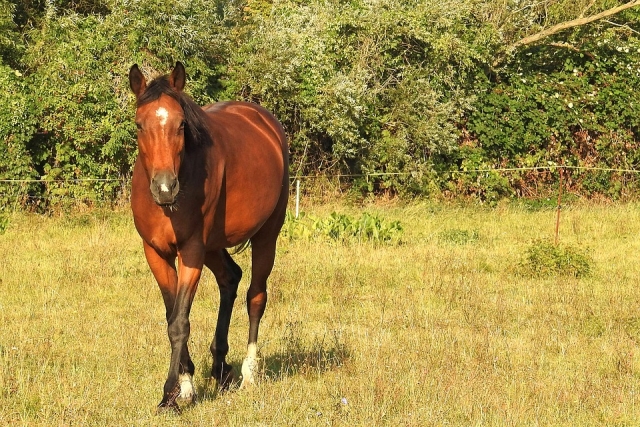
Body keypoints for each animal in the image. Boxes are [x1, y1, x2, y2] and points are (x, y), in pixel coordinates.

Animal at [128, 62, 289, 413]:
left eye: (181, 124)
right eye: (139, 125)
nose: (165, 188)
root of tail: (264, 122)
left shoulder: (191, 252)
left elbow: (179, 323)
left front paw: (168, 396)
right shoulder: (156, 253)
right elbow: (171, 314)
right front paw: (186, 386)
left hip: (266, 235)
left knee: (256, 296)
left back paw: (248, 373)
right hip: (214, 246)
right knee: (230, 278)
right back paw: (220, 368)